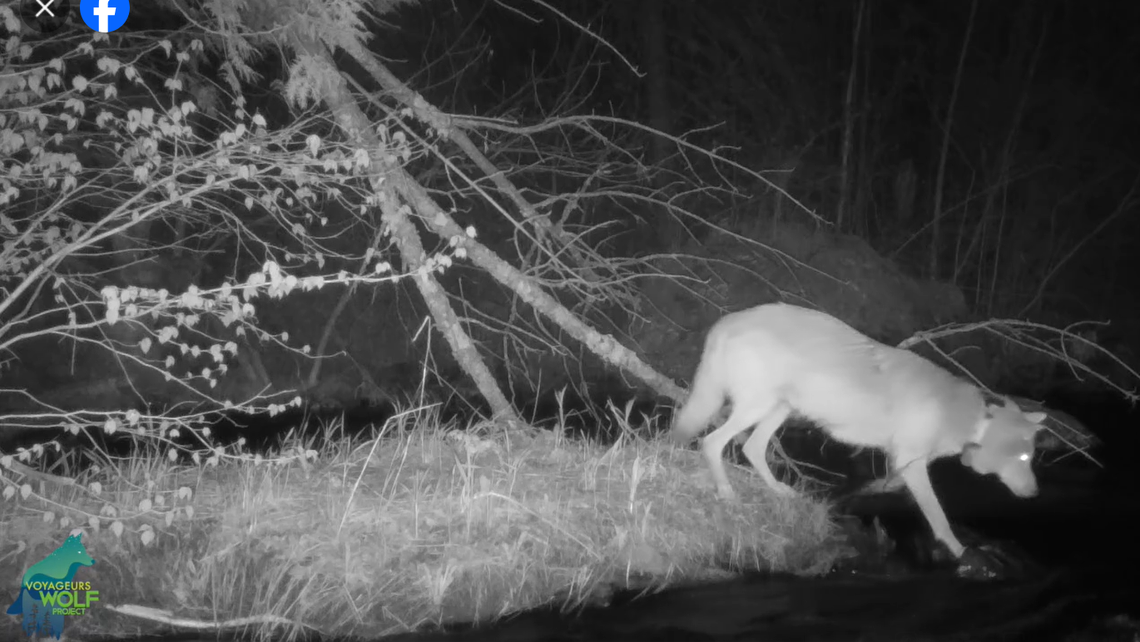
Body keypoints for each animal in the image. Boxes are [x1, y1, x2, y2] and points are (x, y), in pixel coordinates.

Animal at [671, 302, 1047, 559]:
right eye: (1024, 457)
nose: (1034, 494)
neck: (967, 419)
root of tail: (727, 320)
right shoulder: (914, 466)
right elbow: (939, 518)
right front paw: (961, 553)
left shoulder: (902, 467)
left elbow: (870, 492)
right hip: (755, 407)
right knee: (712, 442)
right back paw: (726, 492)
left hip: (780, 408)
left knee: (751, 448)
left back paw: (779, 491)